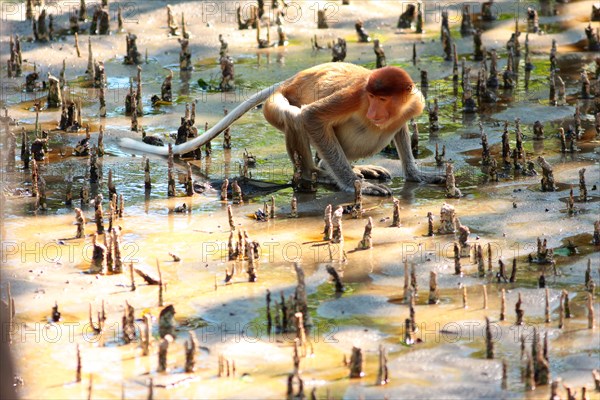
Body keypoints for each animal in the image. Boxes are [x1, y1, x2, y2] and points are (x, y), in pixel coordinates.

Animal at [119, 61, 442, 197]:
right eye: (372, 97)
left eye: (384, 99)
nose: (374, 111)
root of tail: (291, 79)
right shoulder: (356, 95)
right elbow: (312, 117)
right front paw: (355, 186)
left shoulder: (415, 103)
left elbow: (401, 127)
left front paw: (418, 175)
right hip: (276, 104)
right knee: (295, 117)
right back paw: (319, 176)